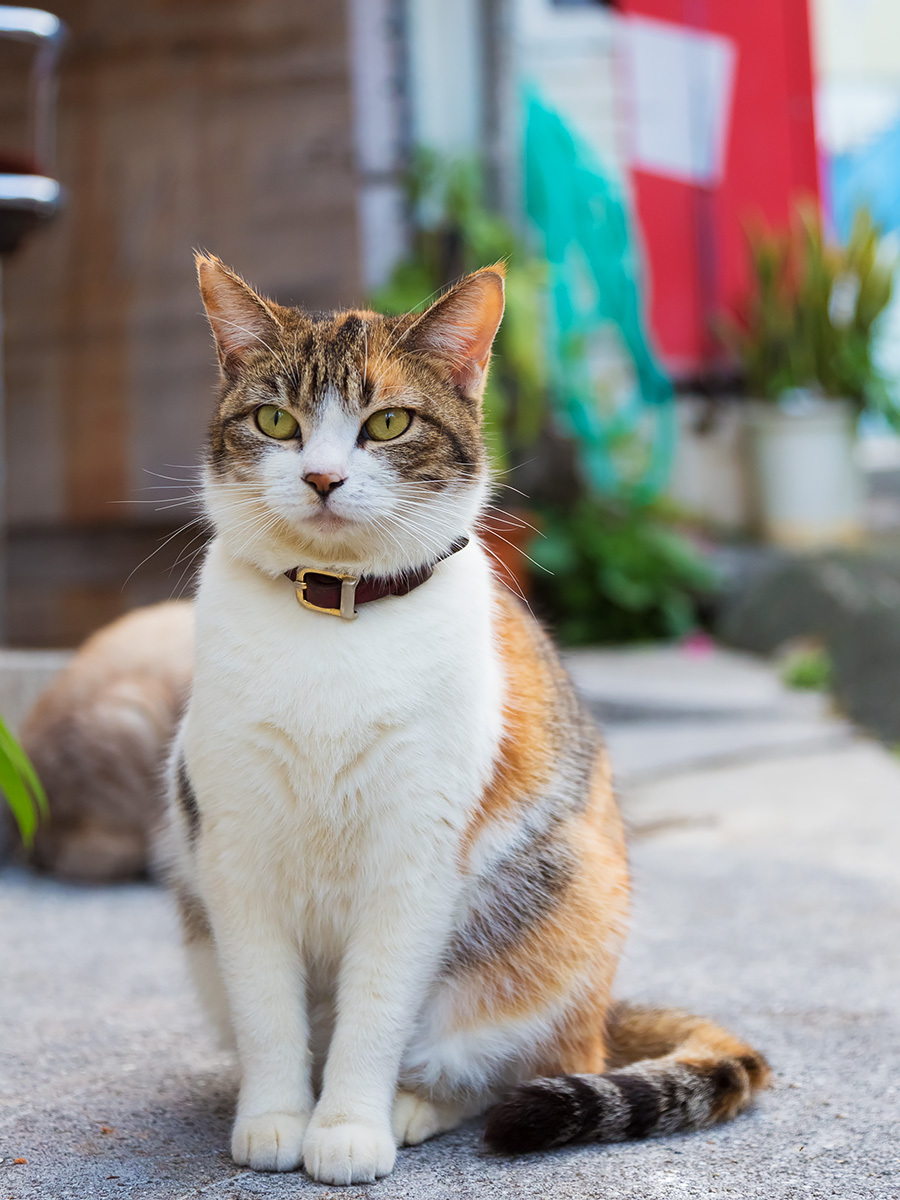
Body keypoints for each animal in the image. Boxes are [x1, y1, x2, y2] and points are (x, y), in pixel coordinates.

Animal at [160, 250, 768, 1180]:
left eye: (387, 423)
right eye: (274, 420)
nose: (322, 478)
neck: (336, 619)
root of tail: (602, 1011)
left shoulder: (418, 851)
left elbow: (376, 1008)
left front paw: (348, 1127)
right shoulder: (233, 847)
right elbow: (267, 1009)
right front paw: (276, 1118)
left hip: (552, 918)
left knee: (526, 1066)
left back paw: (417, 1104)